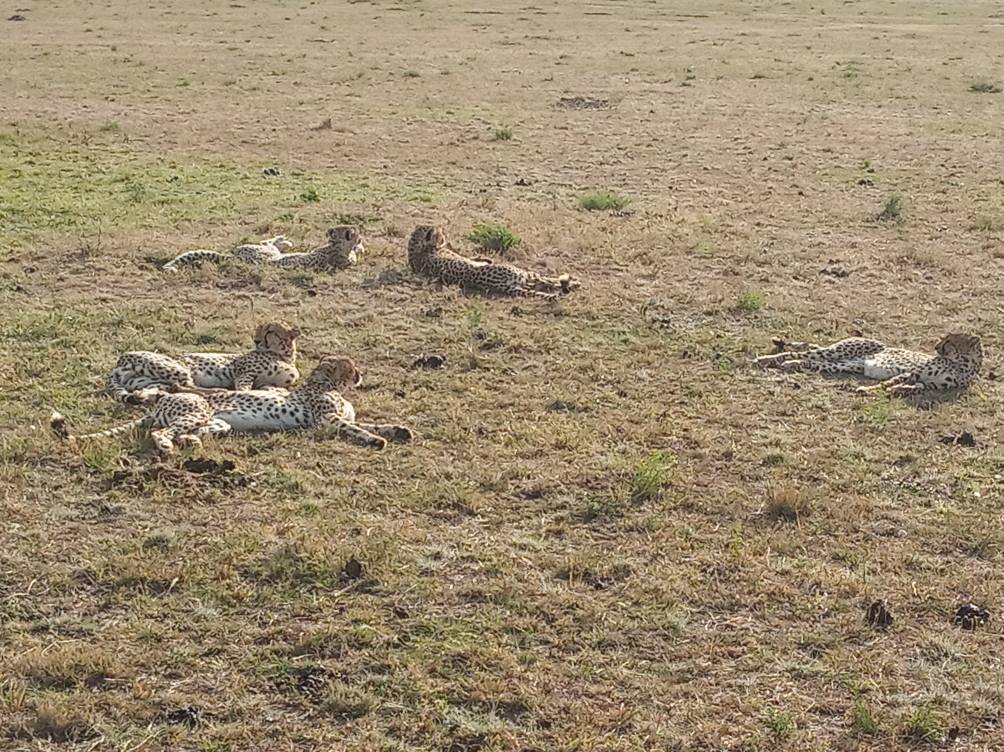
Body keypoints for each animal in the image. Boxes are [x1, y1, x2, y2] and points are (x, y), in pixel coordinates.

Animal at [52, 356, 412, 454]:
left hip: (218, 423)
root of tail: (160, 402)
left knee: (190, 434)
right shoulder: (328, 421)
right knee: (161, 434)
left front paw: (398, 430)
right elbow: (356, 428)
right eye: (350, 368)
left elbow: (374, 422)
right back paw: (168, 448)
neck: (327, 385)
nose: (361, 375)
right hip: (195, 410)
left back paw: (192, 444)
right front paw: (376, 440)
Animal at [106, 322, 300, 404]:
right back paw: (218, 391)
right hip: (177, 368)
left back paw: (151, 396)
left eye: (270, 331)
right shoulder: (243, 373)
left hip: (152, 382)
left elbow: (270, 386)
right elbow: (244, 388)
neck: (284, 356)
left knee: (153, 390)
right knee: (183, 385)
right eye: (259, 330)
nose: (256, 341)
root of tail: (119, 361)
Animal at [407, 225, 580, 301]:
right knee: (547, 281)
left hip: (524, 281)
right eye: (439, 235)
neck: (416, 248)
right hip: (523, 273)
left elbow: (473, 258)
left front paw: (485, 259)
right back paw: (575, 283)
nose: (444, 237)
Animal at [754, 333, 983, 395]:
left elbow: (910, 387)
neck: (965, 365)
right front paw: (867, 389)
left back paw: (790, 364)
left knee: (809, 361)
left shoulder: (927, 383)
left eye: (949, 341)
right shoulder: (914, 372)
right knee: (805, 351)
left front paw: (896, 391)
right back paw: (766, 359)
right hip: (839, 351)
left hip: (844, 364)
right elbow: (890, 382)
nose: (936, 346)